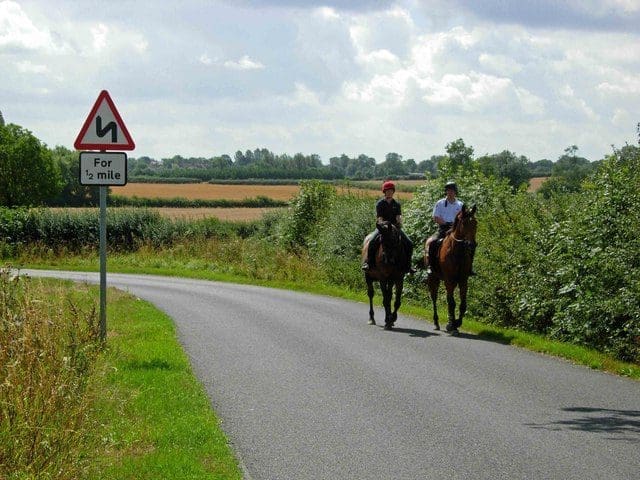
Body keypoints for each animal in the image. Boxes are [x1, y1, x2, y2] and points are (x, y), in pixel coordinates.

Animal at [424, 205, 476, 334]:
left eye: (475, 223)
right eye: (464, 223)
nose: (472, 245)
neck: (457, 252)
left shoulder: (463, 281)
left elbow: (463, 304)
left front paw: (456, 323)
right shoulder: (449, 280)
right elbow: (452, 303)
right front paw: (452, 325)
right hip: (433, 279)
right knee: (434, 298)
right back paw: (437, 323)